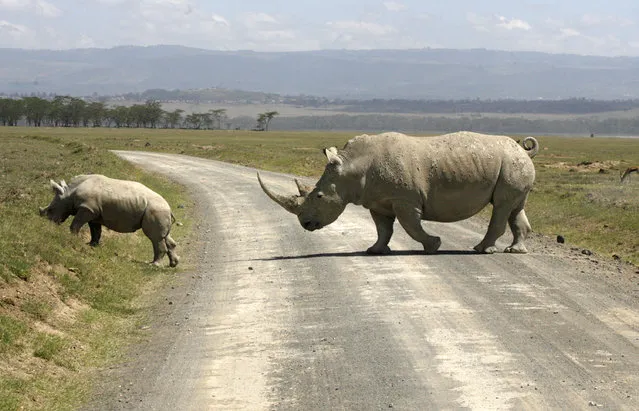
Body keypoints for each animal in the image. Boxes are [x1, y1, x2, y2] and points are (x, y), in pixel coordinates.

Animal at [39, 174, 180, 268]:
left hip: (156, 210)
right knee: (164, 236)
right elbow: (95, 231)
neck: (70, 193)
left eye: (51, 210)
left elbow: (76, 225)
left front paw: (73, 238)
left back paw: (154, 265)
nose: (47, 223)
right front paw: (91, 245)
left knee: (155, 238)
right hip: (159, 211)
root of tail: (169, 208)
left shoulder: (87, 208)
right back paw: (173, 264)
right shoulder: (93, 213)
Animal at [258, 131, 536, 254]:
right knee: (514, 207)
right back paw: (515, 251)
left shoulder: (405, 200)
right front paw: (375, 250)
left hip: (511, 164)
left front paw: (433, 246)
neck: (351, 168)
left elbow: (411, 226)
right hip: (513, 165)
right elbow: (383, 229)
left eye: (318, 197)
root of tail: (524, 150)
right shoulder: (377, 201)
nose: (305, 224)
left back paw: (481, 249)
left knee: (501, 206)